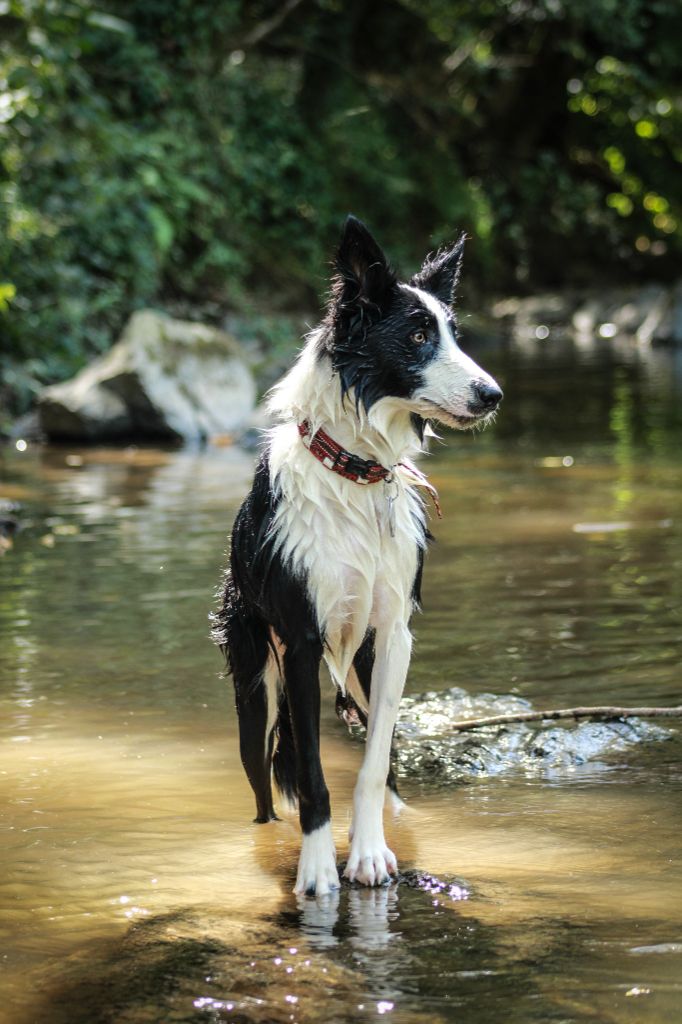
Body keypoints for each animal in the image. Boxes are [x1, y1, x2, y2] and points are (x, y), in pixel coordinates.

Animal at [212, 218, 499, 897]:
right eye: (418, 336)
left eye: (452, 334)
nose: (493, 394)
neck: (357, 474)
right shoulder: (301, 641)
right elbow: (314, 776)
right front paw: (318, 870)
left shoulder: (393, 636)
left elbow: (372, 764)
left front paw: (369, 852)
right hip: (256, 689)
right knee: (266, 792)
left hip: (359, 668)